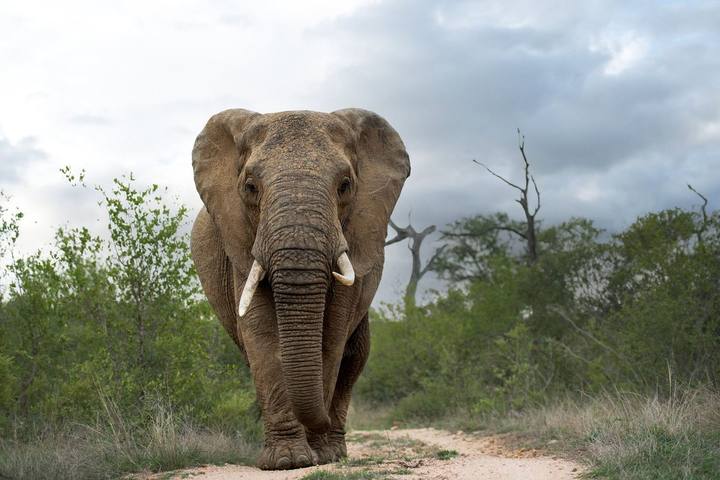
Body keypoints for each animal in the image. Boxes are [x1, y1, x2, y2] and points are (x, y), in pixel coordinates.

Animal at [189, 108, 410, 470]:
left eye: (345, 185)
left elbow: (332, 339)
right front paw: (286, 461)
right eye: (250, 187)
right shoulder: (241, 244)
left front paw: (318, 456)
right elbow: (262, 337)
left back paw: (334, 452)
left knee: (355, 357)